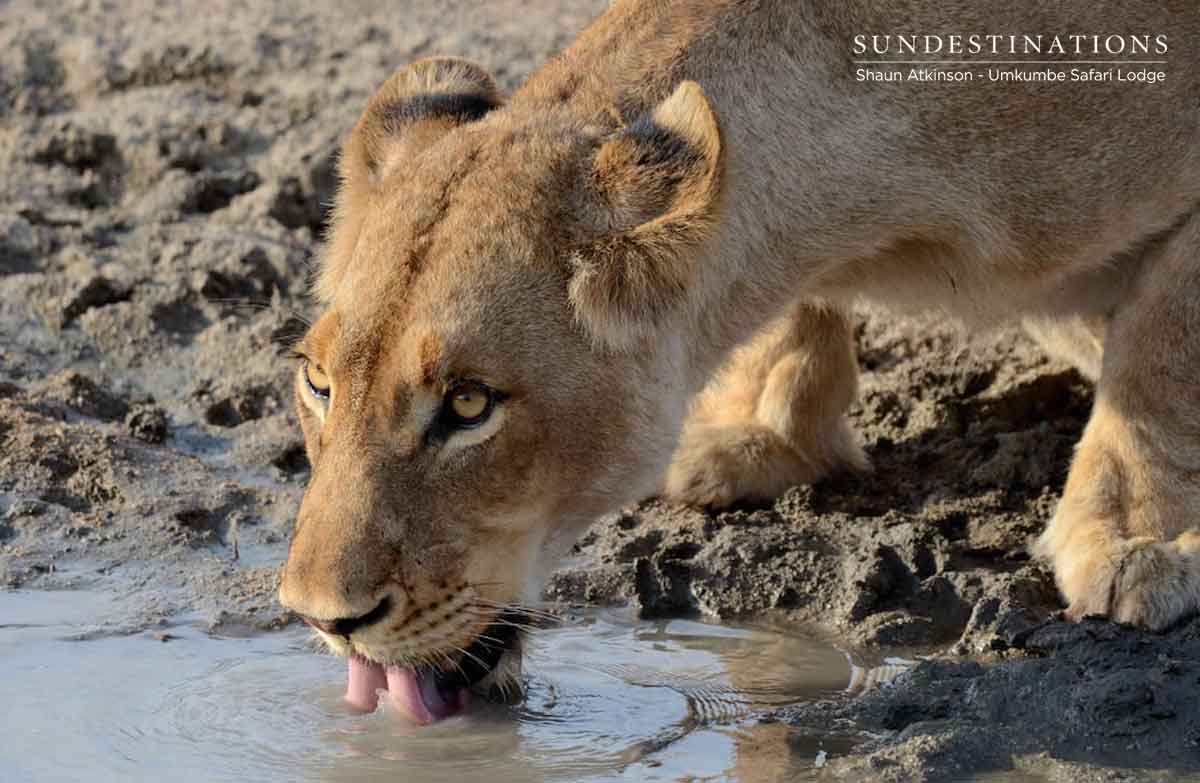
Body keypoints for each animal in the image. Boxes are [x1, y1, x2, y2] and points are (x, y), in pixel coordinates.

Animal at [278, 0, 1200, 723]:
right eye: (318, 382)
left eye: (470, 404)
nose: (324, 620)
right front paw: (766, 436)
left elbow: (1160, 362)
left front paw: (1132, 541)